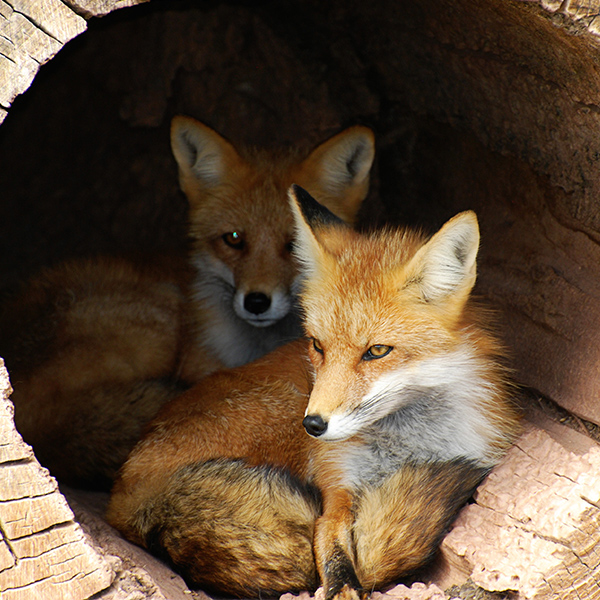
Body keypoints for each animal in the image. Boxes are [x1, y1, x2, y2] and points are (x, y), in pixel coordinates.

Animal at [106, 185, 520, 596]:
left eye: (377, 351)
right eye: (318, 345)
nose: (314, 425)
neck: (406, 450)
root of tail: (127, 491)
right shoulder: (335, 489)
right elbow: (335, 558)